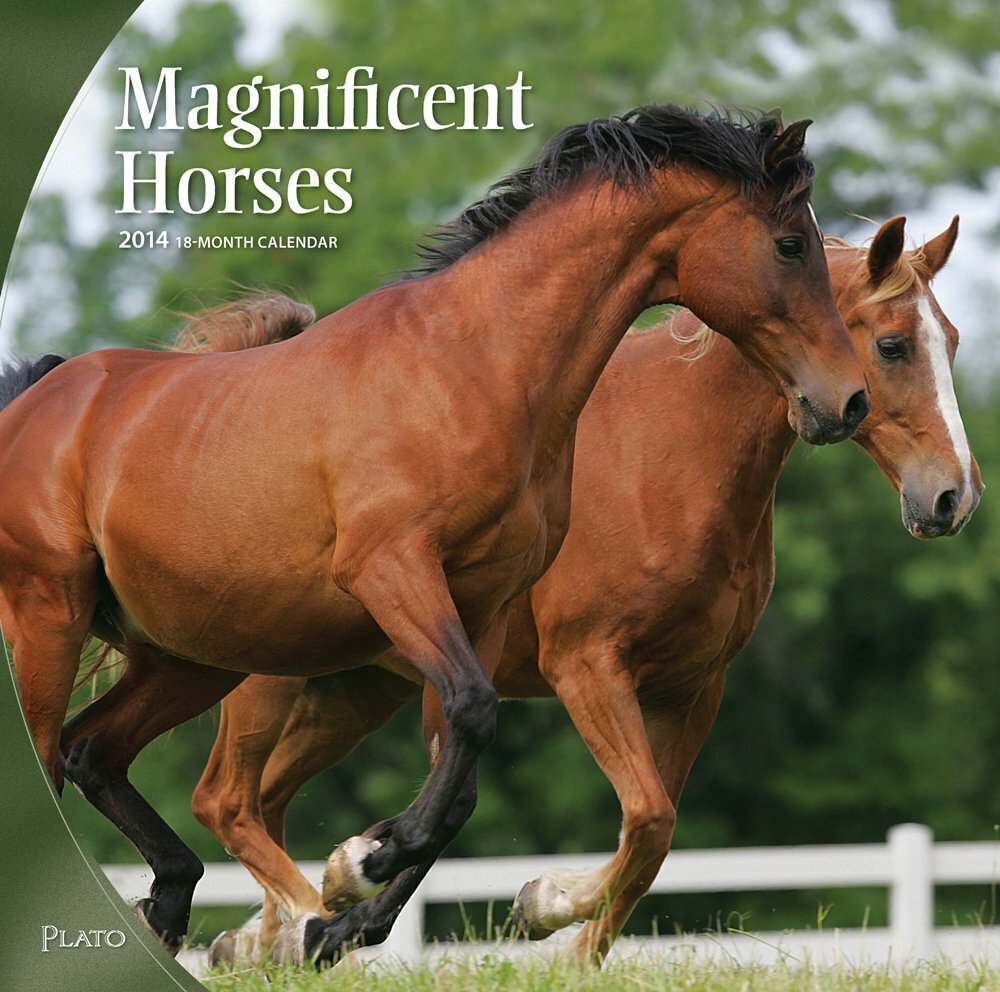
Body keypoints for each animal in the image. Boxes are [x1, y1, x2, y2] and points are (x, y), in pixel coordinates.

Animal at [0, 105, 868, 965]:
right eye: (790, 244)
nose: (848, 401)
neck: (470, 369)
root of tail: (36, 399)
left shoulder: (483, 607)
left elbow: (468, 768)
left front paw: (359, 879)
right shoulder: (397, 573)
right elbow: (474, 715)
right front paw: (363, 863)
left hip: (194, 657)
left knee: (93, 753)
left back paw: (180, 903)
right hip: (55, 619)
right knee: (73, 761)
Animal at [190, 215, 979, 966]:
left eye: (951, 341)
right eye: (892, 346)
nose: (954, 497)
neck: (669, 453)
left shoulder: (693, 688)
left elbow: (652, 838)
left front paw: (568, 943)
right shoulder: (588, 666)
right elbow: (649, 816)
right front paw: (547, 906)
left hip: (353, 693)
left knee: (267, 798)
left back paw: (271, 930)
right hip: (268, 683)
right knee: (226, 800)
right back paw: (303, 917)